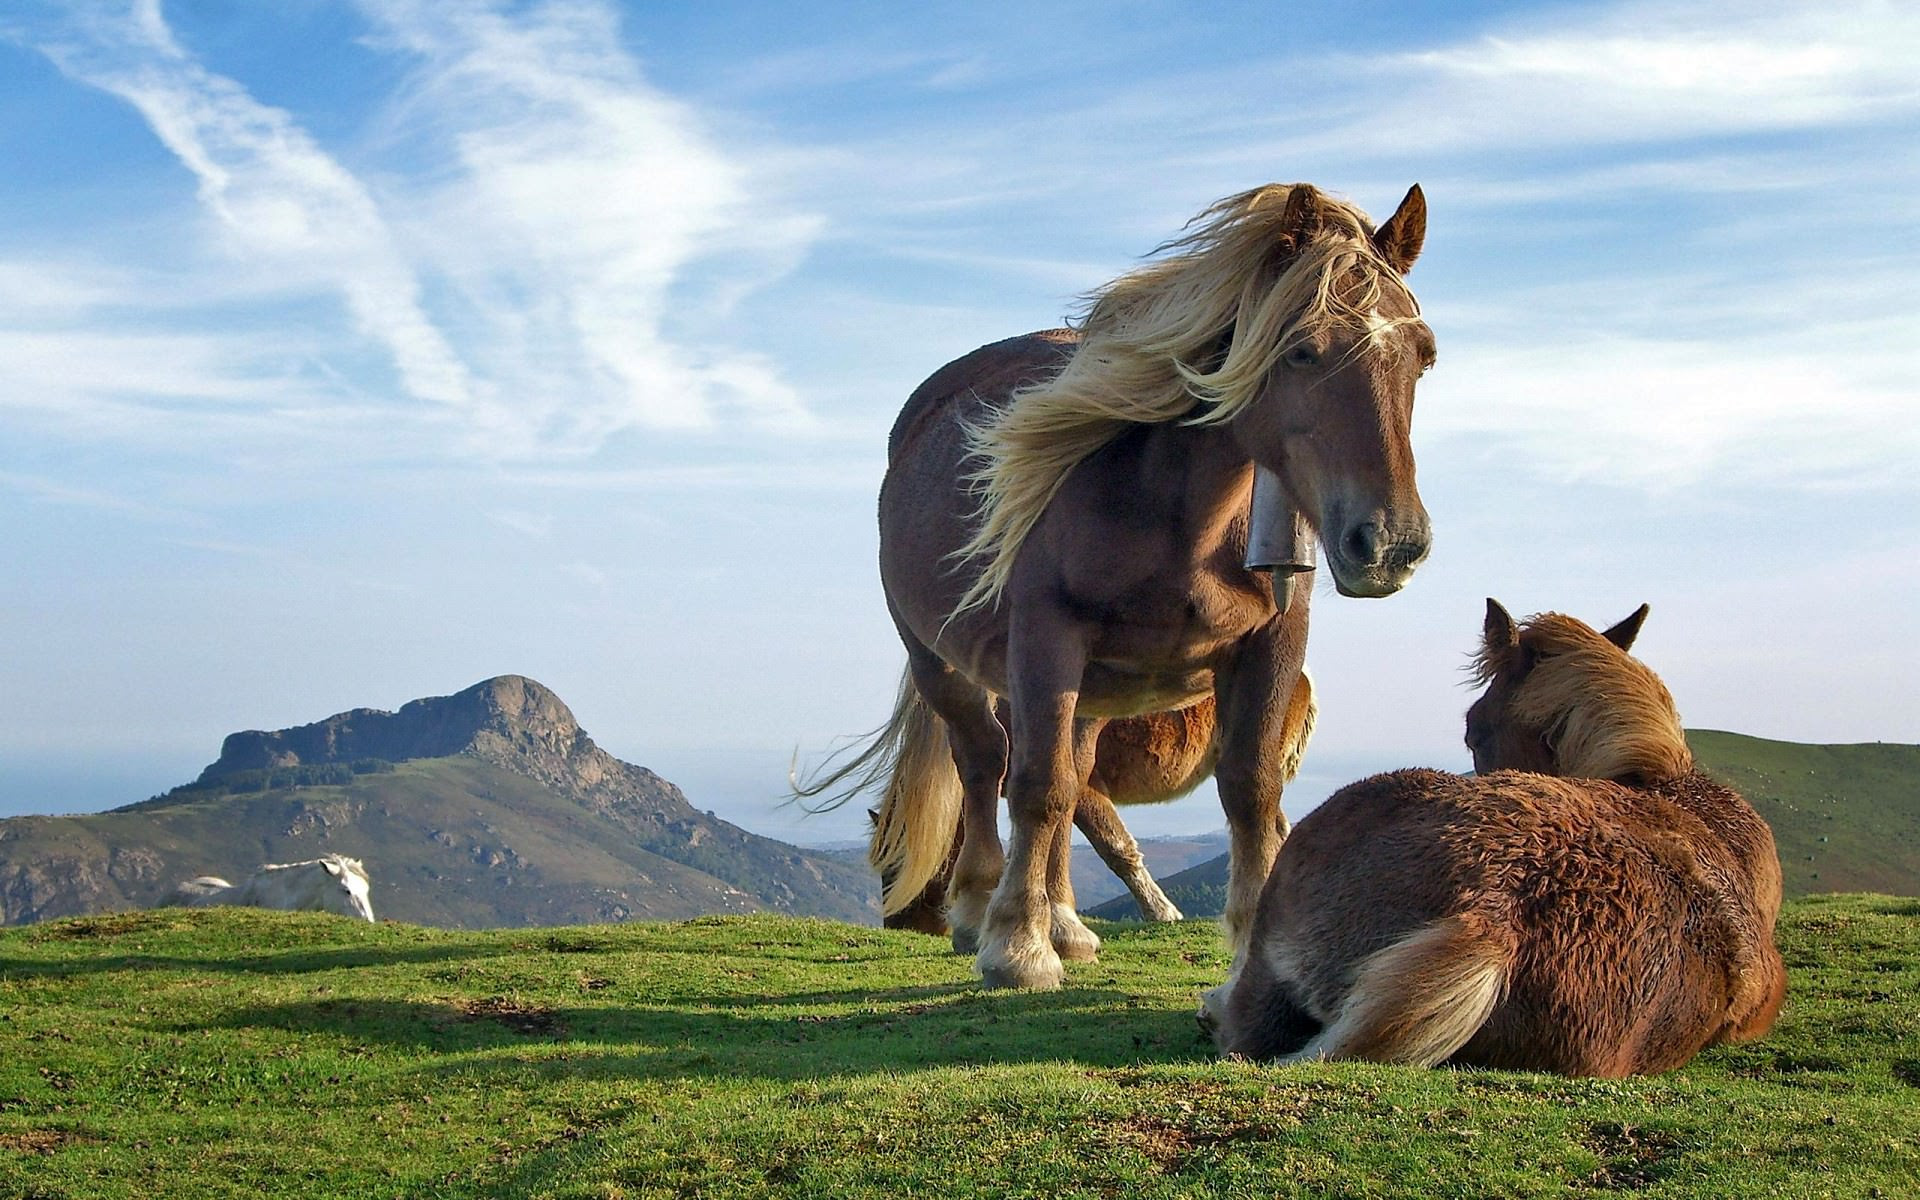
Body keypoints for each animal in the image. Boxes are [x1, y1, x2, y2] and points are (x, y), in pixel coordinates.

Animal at [802, 180, 1436, 983]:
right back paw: (983, 911)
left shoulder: (1272, 643)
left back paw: (1066, 922)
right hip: (942, 660)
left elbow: (1251, 792)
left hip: (1097, 691)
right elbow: (1036, 788)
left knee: (1072, 775)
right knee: (986, 762)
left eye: (1422, 357)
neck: (1176, 514)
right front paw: (1017, 948)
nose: (1390, 544)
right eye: (1301, 349)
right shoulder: (1045, 642)